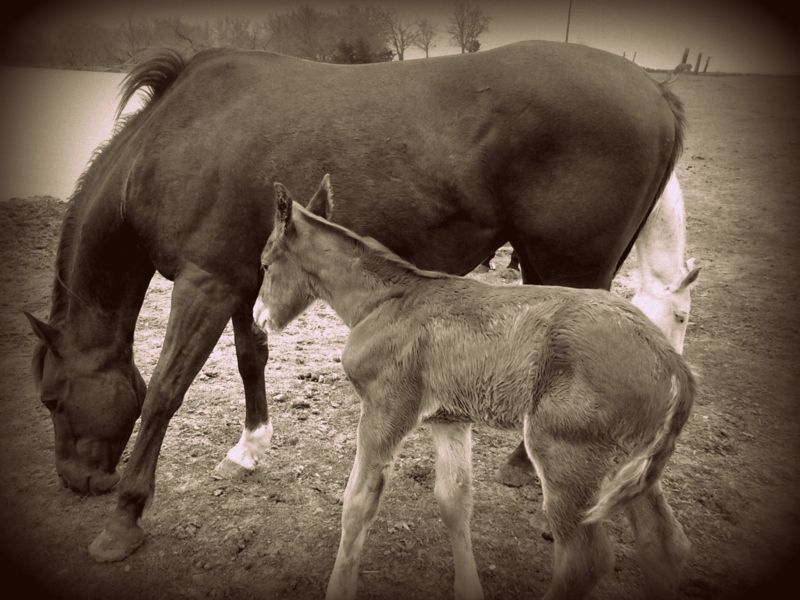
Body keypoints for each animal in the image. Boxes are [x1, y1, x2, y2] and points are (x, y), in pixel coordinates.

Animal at [26, 42, 680, 564]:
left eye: (52, 399)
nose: (76, 481)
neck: (174, 138)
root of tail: (654, 90)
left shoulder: (203, 284)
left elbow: (165, 392)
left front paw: (124, 518)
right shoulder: (240, 279)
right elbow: (250, 357)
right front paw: (249, 448)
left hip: (574, 271)